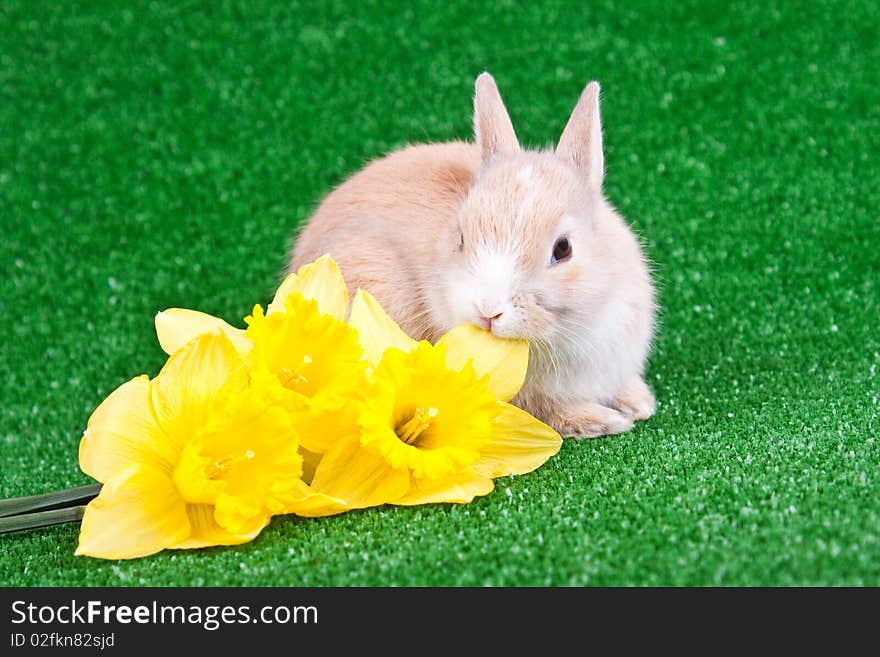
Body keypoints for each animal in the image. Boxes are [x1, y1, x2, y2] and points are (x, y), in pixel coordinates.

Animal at [292, 73, 656, 436]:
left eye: (563, 248)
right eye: (462, 238)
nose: (489, 311)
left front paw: (640, 403)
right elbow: (552, 411)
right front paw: (604, 420)